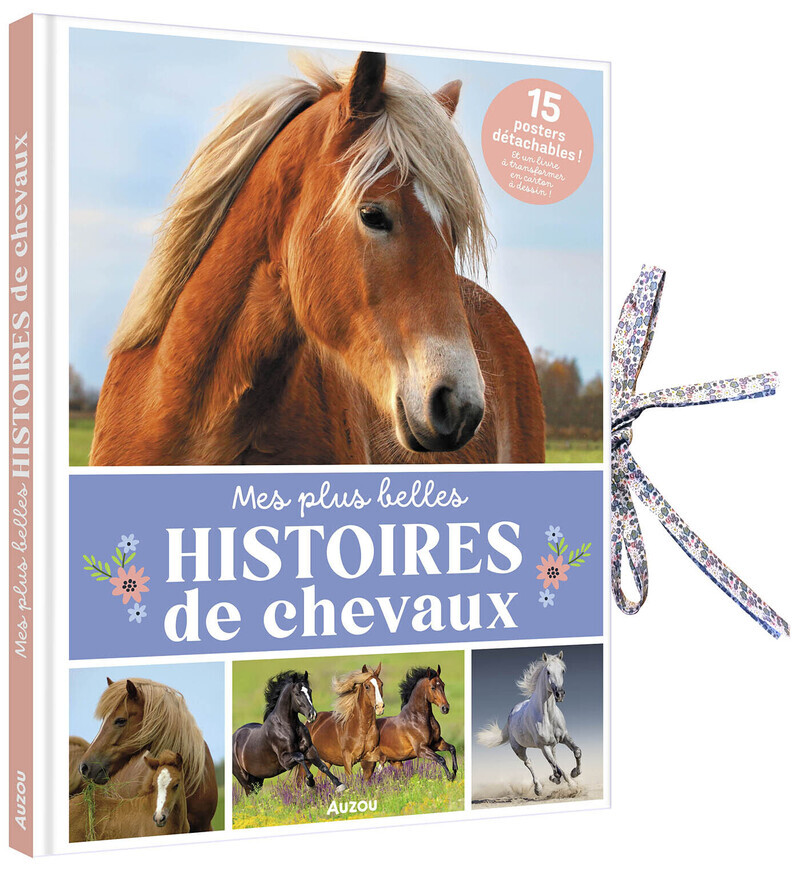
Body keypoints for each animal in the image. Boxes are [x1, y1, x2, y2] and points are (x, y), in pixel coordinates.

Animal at [475, 652, 582, 795]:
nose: (560, 694)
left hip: (552, 745)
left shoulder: (564, 737)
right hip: (519, 749)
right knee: (529, 763)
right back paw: (538, 789)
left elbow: (576, 752)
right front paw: (567, 783)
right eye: (548, 672)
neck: (548, 716)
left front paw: (575, 773)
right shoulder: (543, 746)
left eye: (563, 671)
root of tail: (511, 714)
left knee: (554, 760)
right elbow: (558, 769)